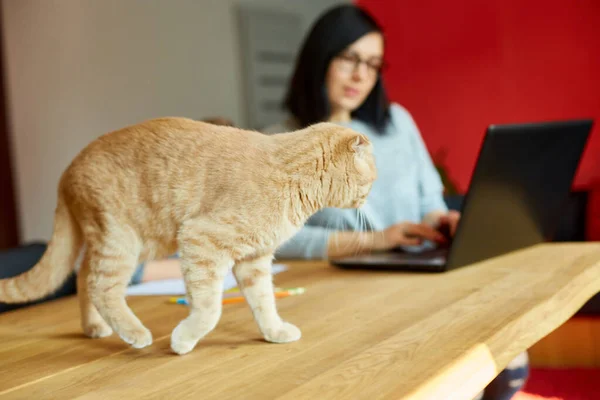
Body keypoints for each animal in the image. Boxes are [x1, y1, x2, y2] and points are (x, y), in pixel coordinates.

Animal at [0, 118, 376, 354]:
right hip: (122, 241)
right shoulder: (200, 241)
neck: (291, 173)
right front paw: (183, 340)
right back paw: (135, 333)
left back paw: (95, 327)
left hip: (119, 243)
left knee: (82, 277)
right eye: (372, 179)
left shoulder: (253, 261)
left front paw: (274, 331)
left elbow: (264, 302)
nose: (369, 198)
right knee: (100, 286)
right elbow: (209, 309)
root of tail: (67, 172)